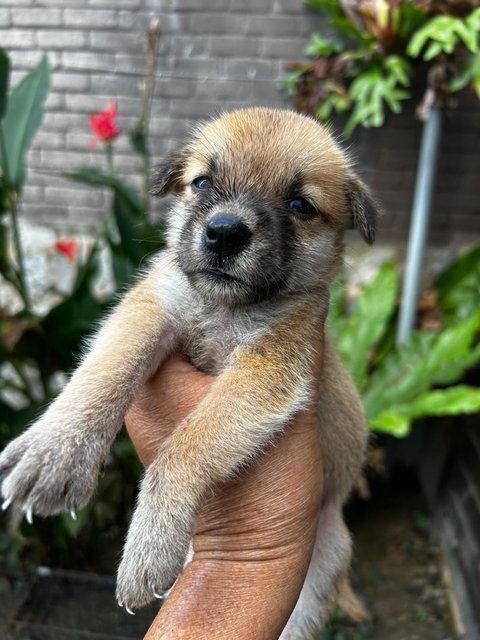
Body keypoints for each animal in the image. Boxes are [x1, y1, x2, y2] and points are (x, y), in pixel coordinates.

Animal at [0, 107, 376, 636]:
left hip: (316, 580)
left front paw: (150, 543)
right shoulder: (151, 308)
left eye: (300, 204)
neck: (223, 308)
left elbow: (186, 445)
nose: (225, 231)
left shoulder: (267, 370)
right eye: (202, 182)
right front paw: (56, 452)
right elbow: (106, 370)